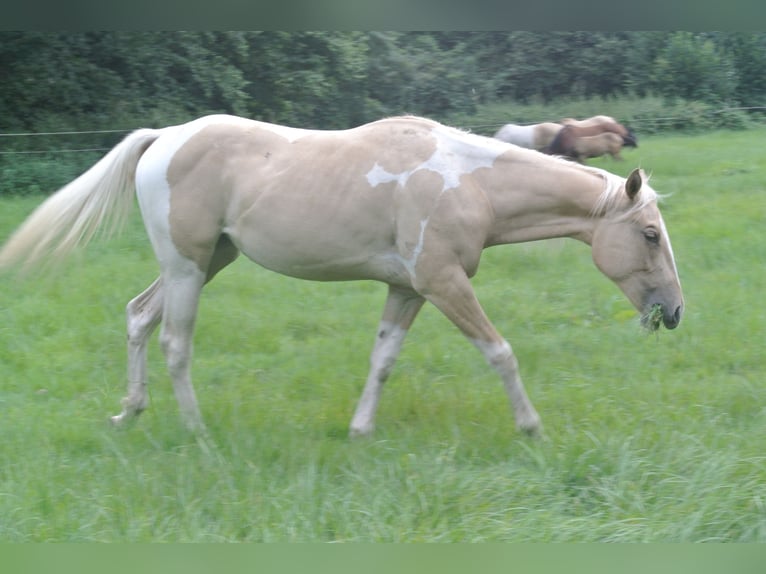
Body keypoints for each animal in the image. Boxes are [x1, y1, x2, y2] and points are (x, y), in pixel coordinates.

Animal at [0, 115, 688, 438]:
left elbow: (382, 360)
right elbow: (500, 352)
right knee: (174, 341)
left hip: (207, 261)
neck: (469, 182)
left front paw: (359, 430)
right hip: (187, 266)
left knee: (140, 318)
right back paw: (196, 431)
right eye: (651, 235)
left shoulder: (408, 290)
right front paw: (531, 427)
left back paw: (130, 413)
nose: (675, 313)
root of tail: (164, 137)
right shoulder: (443, 284)